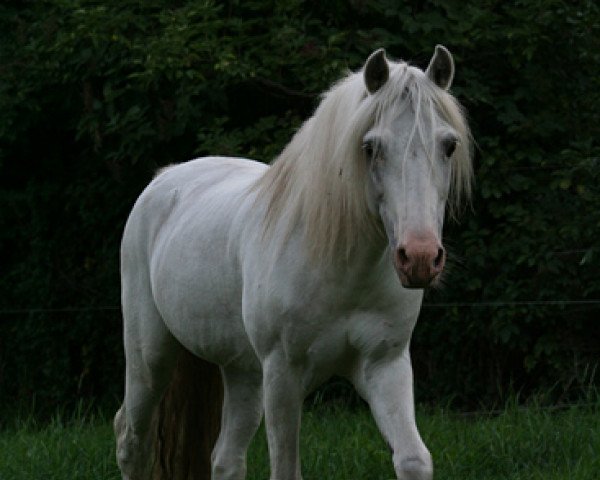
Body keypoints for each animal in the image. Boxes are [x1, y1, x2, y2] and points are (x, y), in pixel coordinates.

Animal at [115, 46, 474, 480]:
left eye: (449, 145)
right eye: (371, 147)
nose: (419, 258)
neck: (341, 270)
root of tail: (163, 179)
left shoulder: (384, 365)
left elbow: (413, 460)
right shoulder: (283, 375)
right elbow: (286, 467)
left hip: (243, 372)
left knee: (225, 458)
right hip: (151, 360)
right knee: (132, 440)